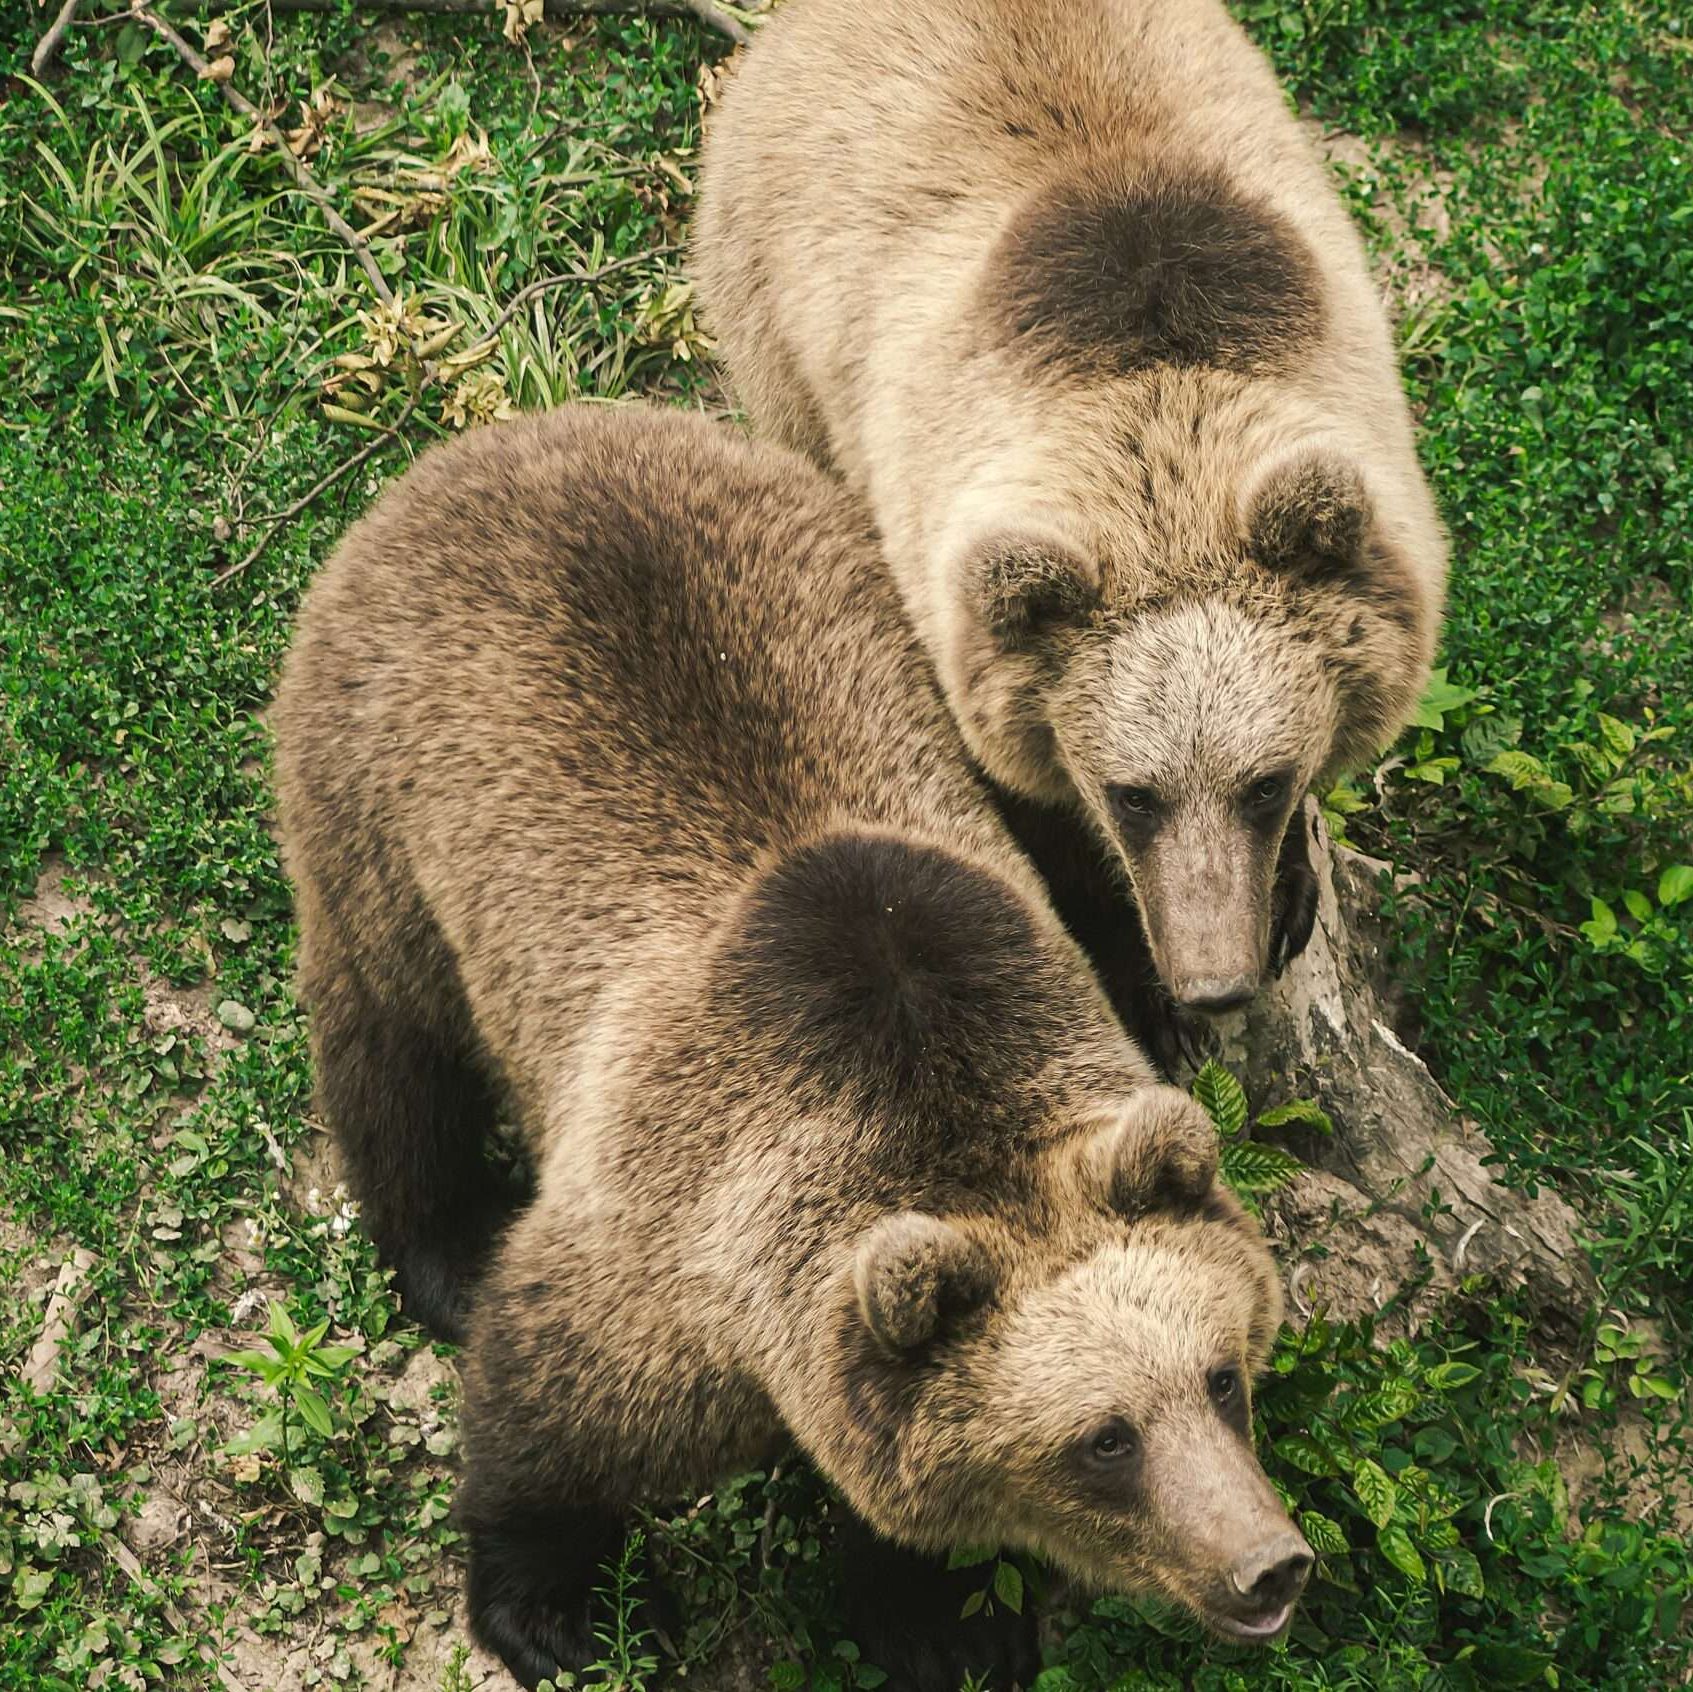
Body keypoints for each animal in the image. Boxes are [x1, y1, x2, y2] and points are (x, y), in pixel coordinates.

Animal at [274, 403, 1306, 1686]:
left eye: (1221, 1377)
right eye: (1103, 1440)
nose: (1267, 1563)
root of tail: (516, 433)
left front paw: (942, 1624)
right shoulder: (679, 1254)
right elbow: (550, 1404)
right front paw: (565, 1610)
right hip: (382, 799)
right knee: (390, 1035)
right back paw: (445, 1245)